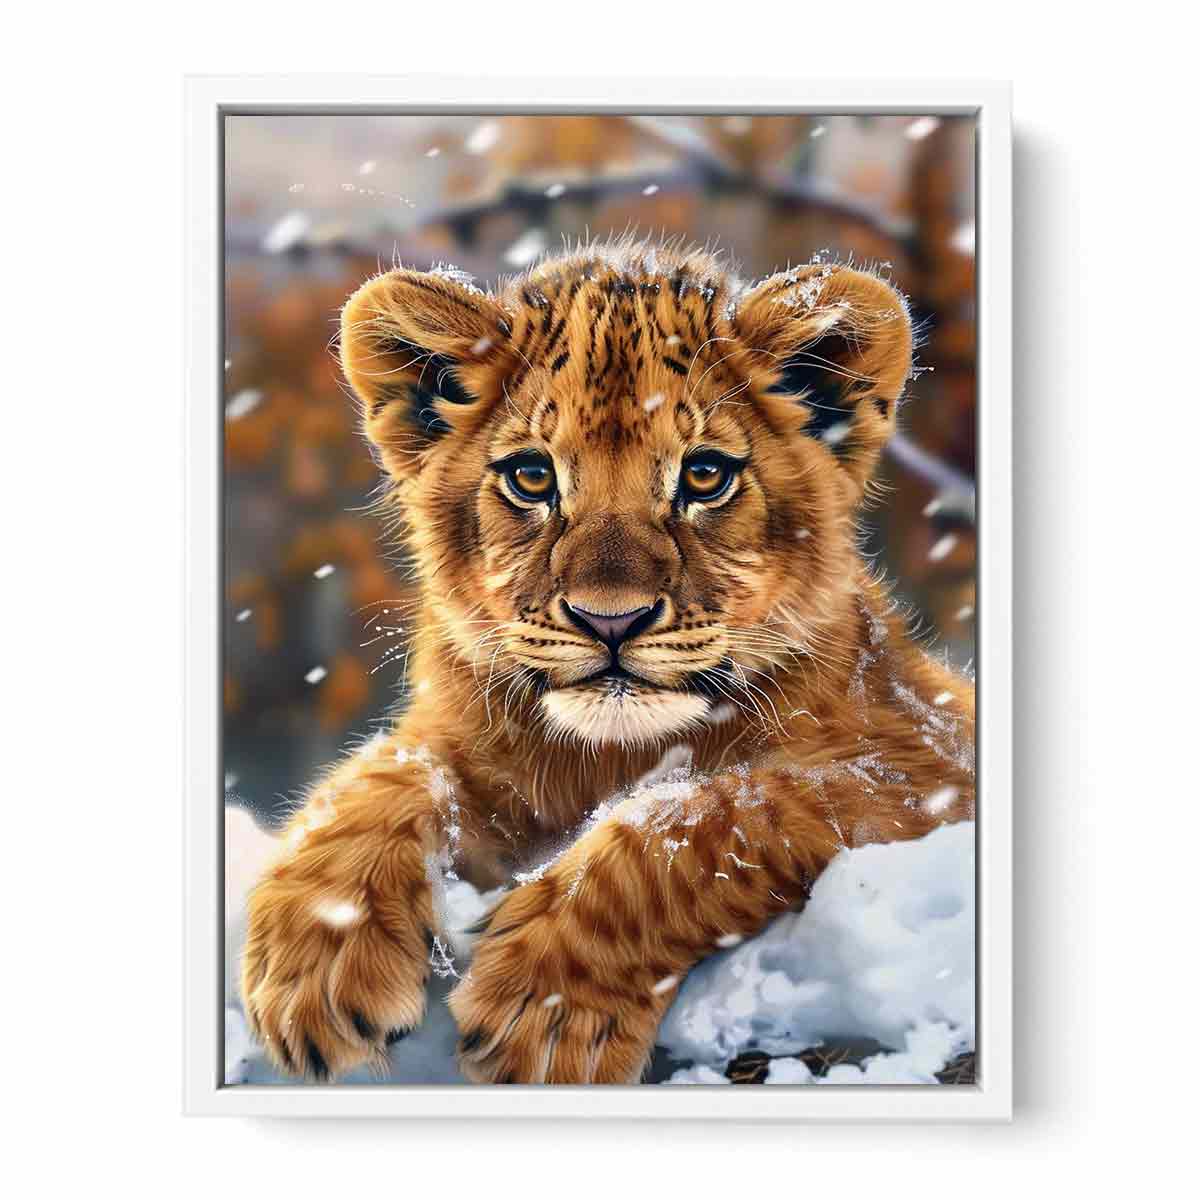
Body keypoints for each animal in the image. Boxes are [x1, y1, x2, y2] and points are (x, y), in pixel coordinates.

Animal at [240, 237, 975, 1084]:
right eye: (532, 476)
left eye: (705, 475)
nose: (609, 619)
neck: (605, 758)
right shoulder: (458, 736)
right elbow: (381, 776)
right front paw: (314, 962)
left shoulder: (926, 766)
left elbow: (716, 811)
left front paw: (547, 1005)